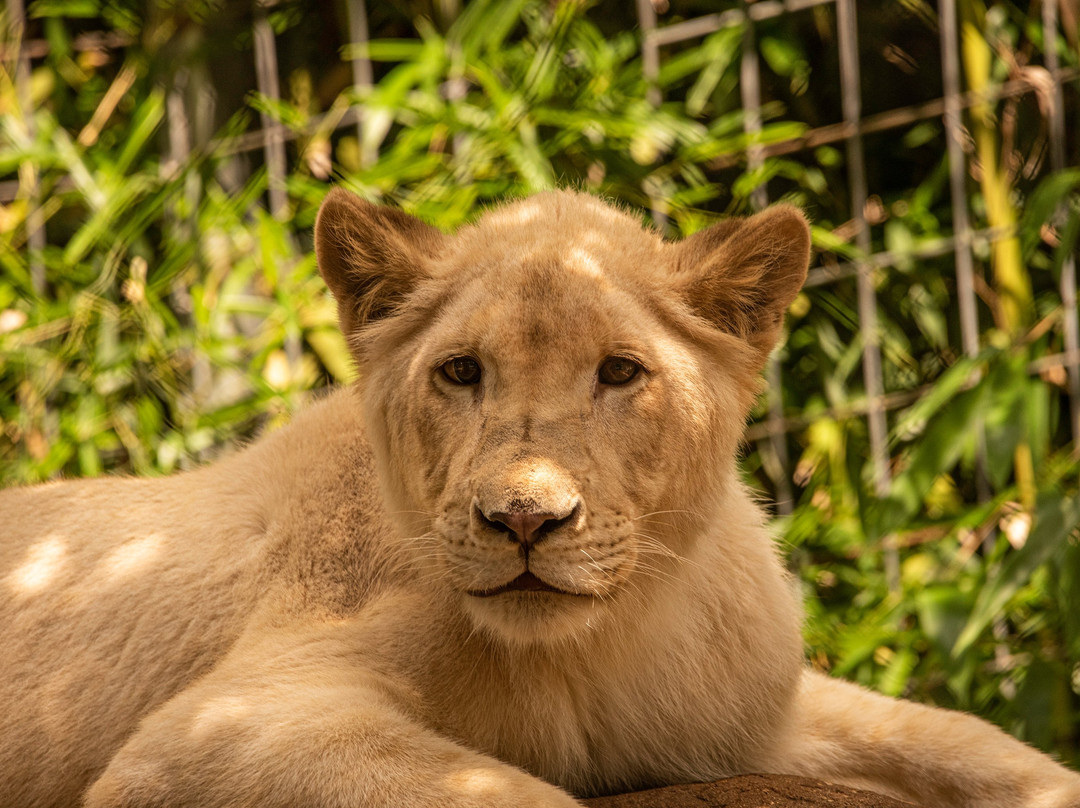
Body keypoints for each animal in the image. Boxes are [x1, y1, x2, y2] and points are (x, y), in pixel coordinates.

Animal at [2, 189, 1080, 808]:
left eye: (619, 372)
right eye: (461, 372)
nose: (524, 520)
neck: (594, 651)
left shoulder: (752, 722)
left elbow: (962, 740)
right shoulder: (218, 728)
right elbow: (494, 789)